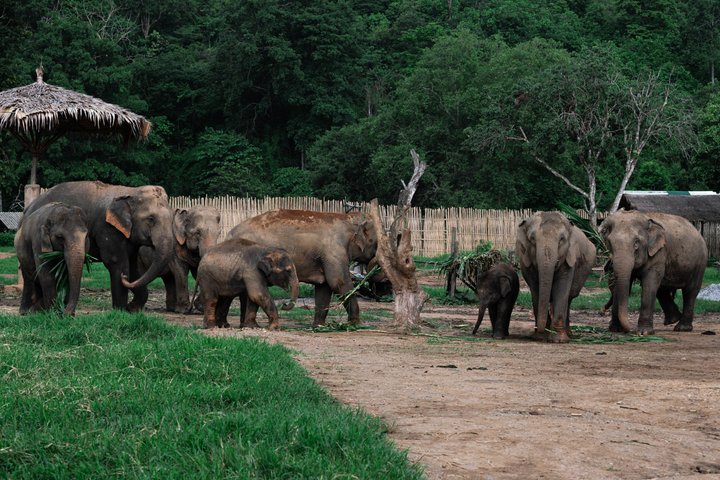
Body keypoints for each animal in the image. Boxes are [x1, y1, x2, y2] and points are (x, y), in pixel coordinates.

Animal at [24, 181, 175, 310]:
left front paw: (131, 309)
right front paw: (120, 310)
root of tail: (28, 208)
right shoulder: (107, 229)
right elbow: (117, 263)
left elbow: (133, 268)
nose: (124, 277)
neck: (130, 191)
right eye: (151, 219)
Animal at [228, 209, 377, 325]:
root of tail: (230, 233)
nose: (283, 304)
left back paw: (244, 325)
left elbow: (324, 287)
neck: (347, 218)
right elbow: (338, 282)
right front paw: (355, 324)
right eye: (377, 243)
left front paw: (319, 326)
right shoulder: (333, 251)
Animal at [516, 211, 597, 343]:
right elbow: (536, 289)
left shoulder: (569, 257)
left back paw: (569, 335)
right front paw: (540, 337)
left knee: (569, 298)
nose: (540, 331)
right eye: (532, 239)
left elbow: (561, 288)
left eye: (562, 239)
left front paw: (559, 340)